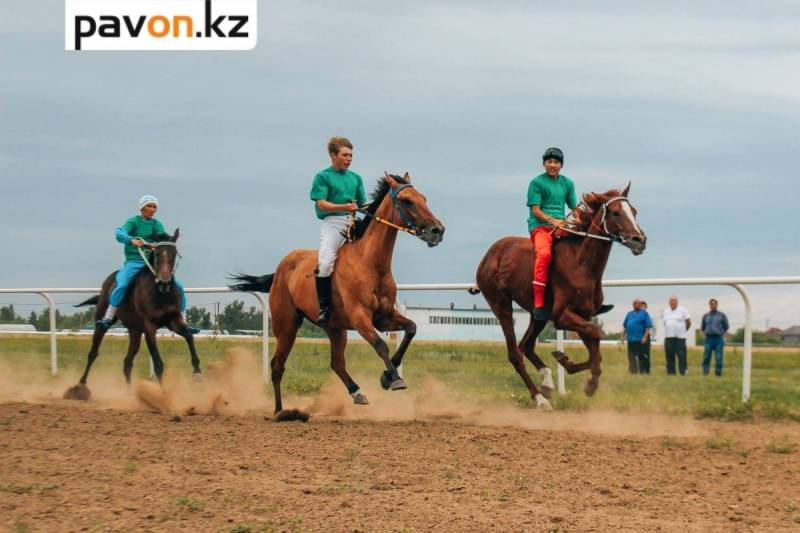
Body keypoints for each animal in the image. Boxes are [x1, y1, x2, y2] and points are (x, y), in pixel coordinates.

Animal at [64, 229, 202, 400]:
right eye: (157, 253)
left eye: (174, 254)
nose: (164, 282)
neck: (160, 293)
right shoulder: (149, 327)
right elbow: (158, 363)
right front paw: (163, 395)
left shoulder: (173, 321)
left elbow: (189, 336)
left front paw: (197, 373)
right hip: (102, 320)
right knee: (93, 353)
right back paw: (80, 387)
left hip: (135, 331)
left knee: (127, 362)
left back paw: (130, 395)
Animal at [228, 174, 446, 420]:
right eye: (407, 200)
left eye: (424, 198)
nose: (438, 230)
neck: (370, 264)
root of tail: (280, 269)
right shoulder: (360, 318)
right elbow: (381, 345)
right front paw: (394, 379)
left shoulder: (384, 317)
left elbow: (411, 329)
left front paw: (386, 376)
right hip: (287, 326)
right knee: (277, 366)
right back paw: (280, 410)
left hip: (335, 328)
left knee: (336, 363)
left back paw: (357, 392)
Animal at [472, 183, 648, 408]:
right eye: (616, 213)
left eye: (634, 211)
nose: (639, 240)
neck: (581, 265)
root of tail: (490, 254)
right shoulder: (561, 316)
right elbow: (595, 333)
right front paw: (573, 367)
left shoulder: (582, 314)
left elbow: (594, 346)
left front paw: (587, 380)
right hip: (501, 304)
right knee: (515, 353)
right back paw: (539, 398)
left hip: (538, 314)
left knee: (525, 345)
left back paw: (547, 382)